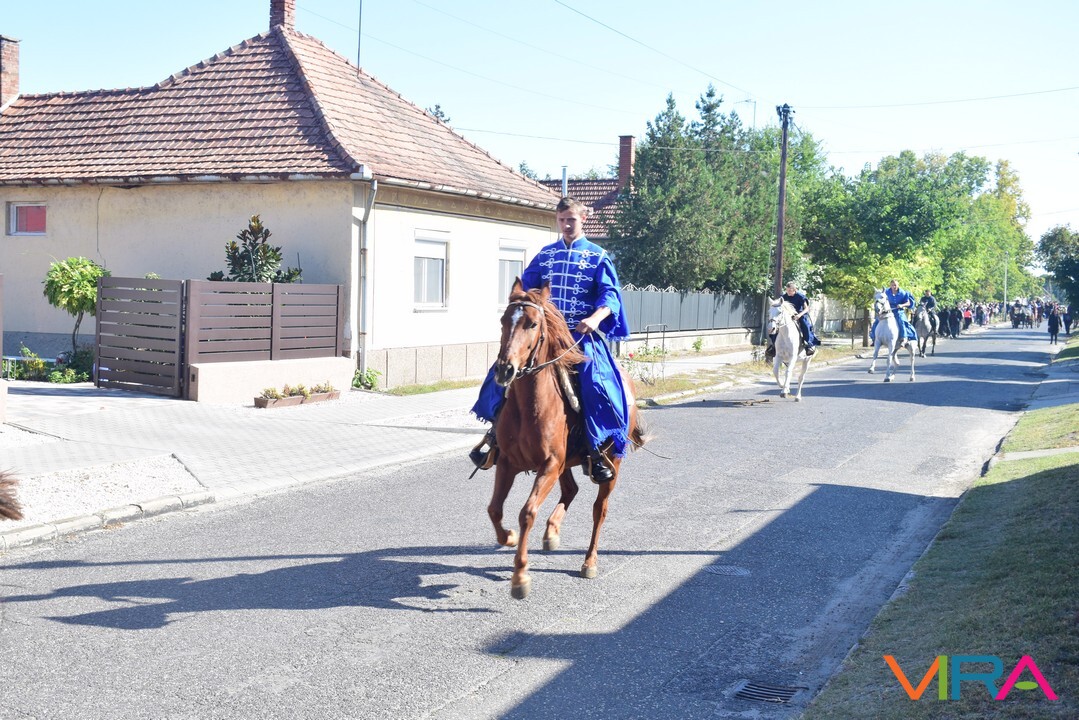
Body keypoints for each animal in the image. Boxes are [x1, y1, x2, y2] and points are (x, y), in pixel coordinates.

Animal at [486, 280, 647, 599]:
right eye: (503, 321)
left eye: (532, 323)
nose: (505, 370)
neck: (530, 407)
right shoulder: (509, 463)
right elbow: (495, 509)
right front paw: (508, 537)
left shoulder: (549, 465)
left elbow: (527, 512)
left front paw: (520, 576)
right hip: (566, 464)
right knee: (571, 490)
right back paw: (552, 532)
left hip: (611, 463)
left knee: (599, 510)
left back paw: (589, 561)